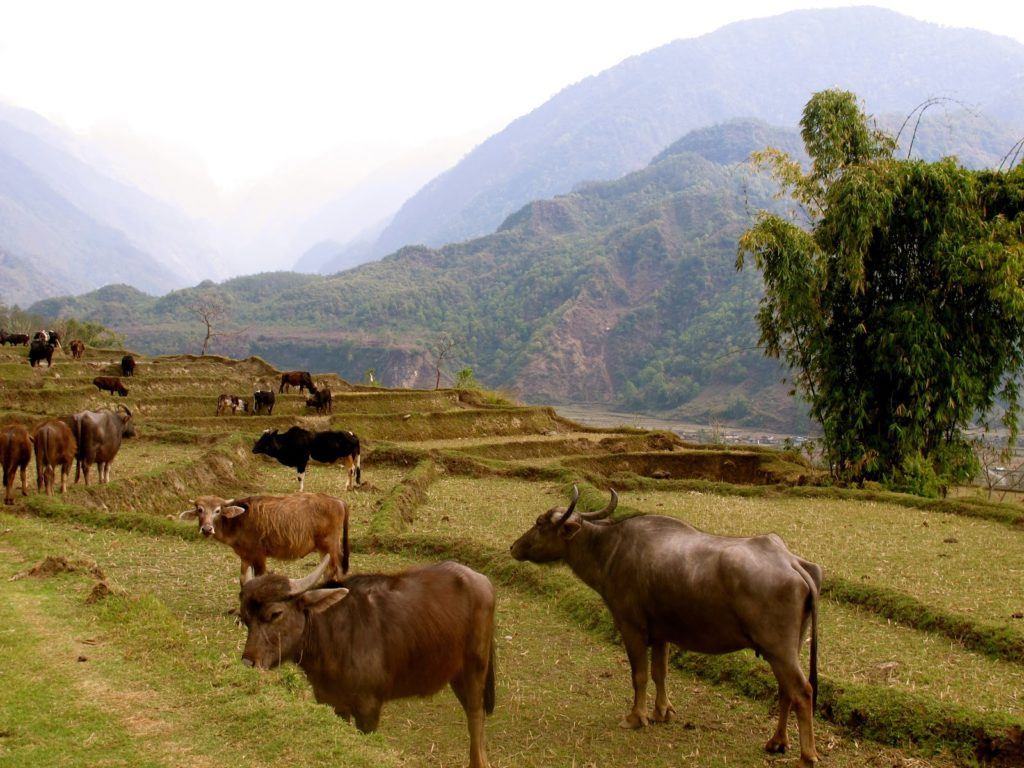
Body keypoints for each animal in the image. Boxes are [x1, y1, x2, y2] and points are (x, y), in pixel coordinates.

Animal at [178, 495, 350, 585]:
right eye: (200, 510)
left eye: (218, 510)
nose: (207, 529)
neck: (240, 520)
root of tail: (338, 501)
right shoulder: (245, 557)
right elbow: (243, 579)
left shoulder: (259, 556)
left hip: (329, 545)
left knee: (334, 570)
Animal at [239, 557, 495, 765]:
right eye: (244, 618)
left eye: (275, 614)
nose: (249, 662)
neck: (330, 641)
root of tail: (483, 581)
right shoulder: (333, 704)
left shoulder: (369, 708)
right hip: (456, 674)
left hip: (476, 666)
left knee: (475, 716)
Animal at [512, 489, 823, 765]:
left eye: (539, 523)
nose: (514, 547)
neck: (609, 550)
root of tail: (792, 563)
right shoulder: (662, 634)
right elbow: (660, 672)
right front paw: (662, 712)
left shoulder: (631, 627)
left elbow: (639, 675)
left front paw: (636, 717)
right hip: (788, 648)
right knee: (786, 690)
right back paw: (777, 742)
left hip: (778, 649)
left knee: (802, 691)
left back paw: (806, 756)